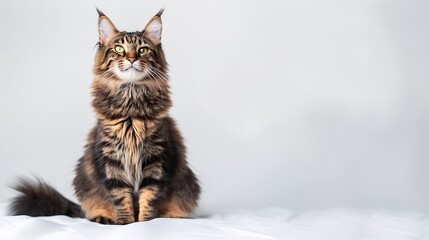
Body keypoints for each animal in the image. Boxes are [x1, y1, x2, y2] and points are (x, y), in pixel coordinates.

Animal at [8, 7, 201, 225]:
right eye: (119, 49)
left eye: (143, 50)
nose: (132, 58)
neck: (130, 108)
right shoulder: (111, 158)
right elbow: (121, 197)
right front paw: (126, 223)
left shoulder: (156, 157)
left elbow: (149, 197)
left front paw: (145, 223)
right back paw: (103, 217)